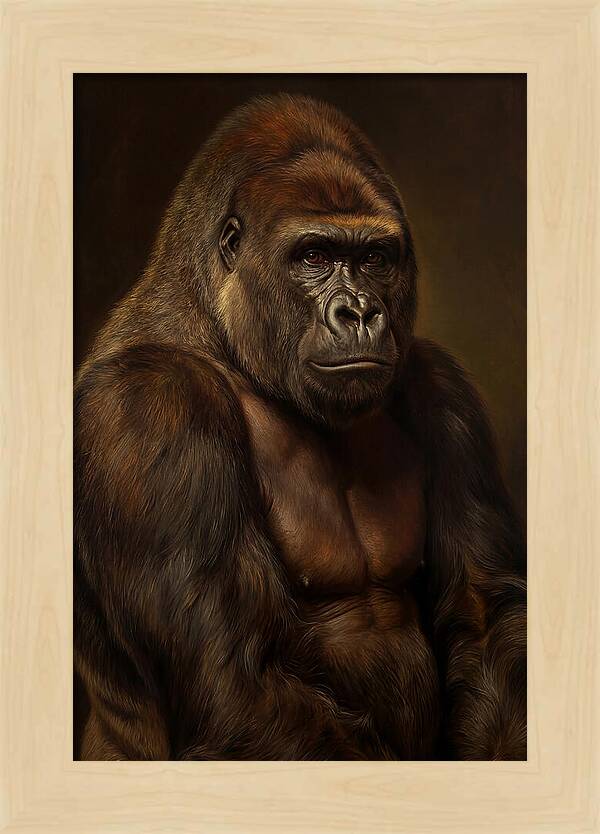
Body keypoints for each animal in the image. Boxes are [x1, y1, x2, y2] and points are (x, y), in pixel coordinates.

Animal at [74, 93, 526, 760]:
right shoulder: (150, 407)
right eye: (313, 256)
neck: (222, 334)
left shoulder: (443, 390)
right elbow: (234, 681)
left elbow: (485, 616)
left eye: (374, 258)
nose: (359, 312)